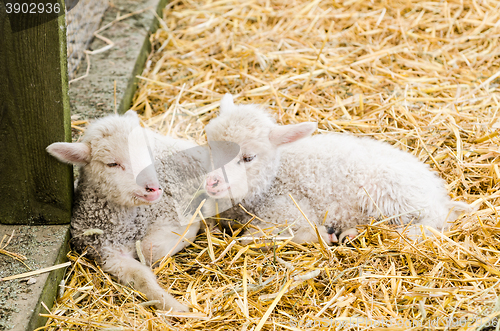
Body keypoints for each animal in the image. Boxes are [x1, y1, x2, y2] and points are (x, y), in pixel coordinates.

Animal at [47, 111, 209, 312]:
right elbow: (142, 276)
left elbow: (150, 248)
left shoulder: (171, 213)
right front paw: (176, 308)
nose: (153, 188)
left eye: (146, 153)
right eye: (112, 164)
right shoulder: (109, 255)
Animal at [202, 94, 468, 245]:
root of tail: (438, 193)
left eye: (248, 158)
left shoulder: (289, 211)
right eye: (209, 147)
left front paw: (321, 235)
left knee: (430, 223)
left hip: (391, 195)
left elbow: (250, 239)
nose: (211, 182)